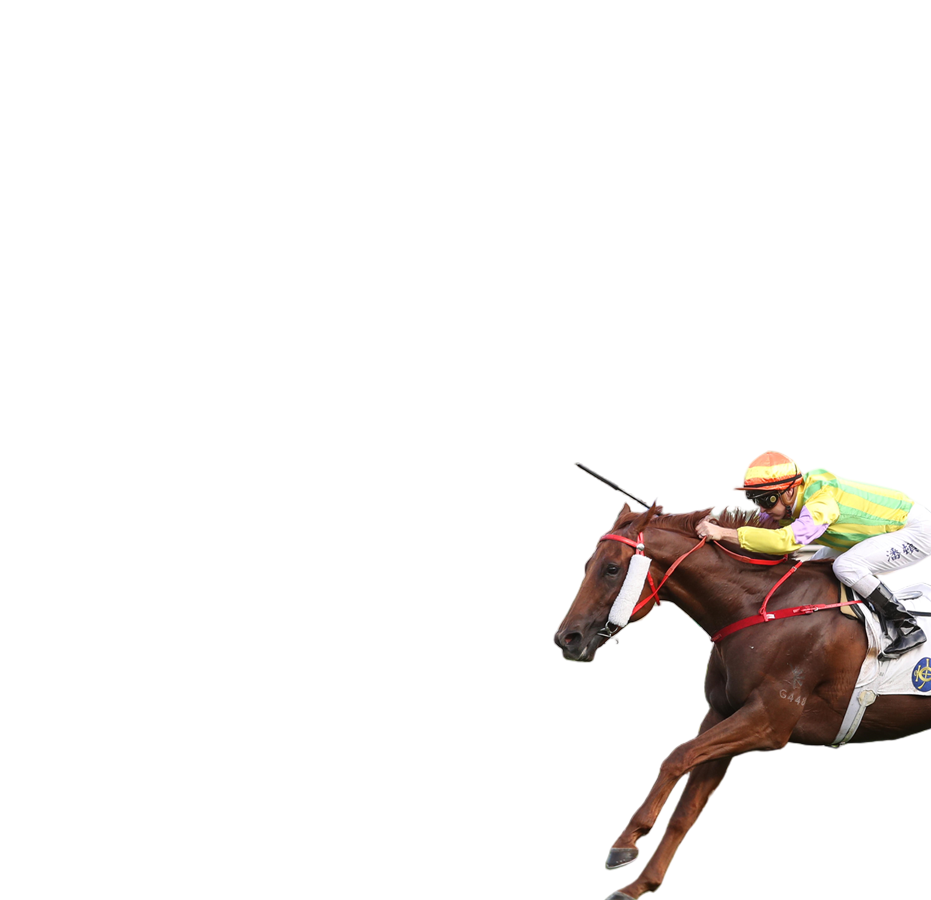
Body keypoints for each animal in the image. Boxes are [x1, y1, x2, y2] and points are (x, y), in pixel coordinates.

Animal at [552, 502, 931, 900]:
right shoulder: (724, 714)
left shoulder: (768, 720)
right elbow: (687, 806)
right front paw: (641, 881)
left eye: (612, 568)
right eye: (588, 564)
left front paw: (631, 836)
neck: (759, 609)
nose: (567, 638)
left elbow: (677, 757)